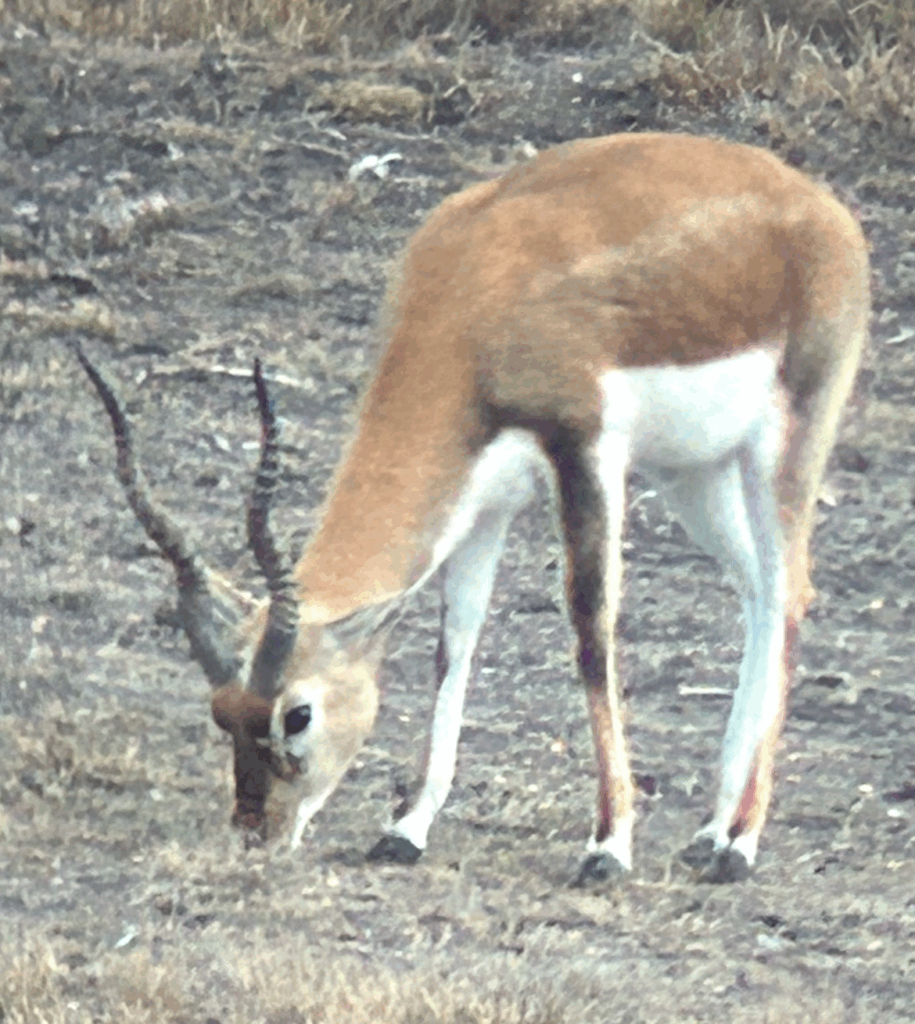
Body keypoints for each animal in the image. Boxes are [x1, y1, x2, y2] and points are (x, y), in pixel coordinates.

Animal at [77, 132, 869, 884]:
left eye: (296, 713)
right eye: (221, 712)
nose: (256, 832)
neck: (473, 294)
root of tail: (821, 206)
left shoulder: (584, 451)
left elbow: (591, 629)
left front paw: (608, 845)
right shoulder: (484, 503)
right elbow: (453, 640)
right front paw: (405, 829)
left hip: (781, 447)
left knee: (787, 589)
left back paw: (740, 842)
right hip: (692, 473)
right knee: (762, 594)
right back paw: (711, 829)